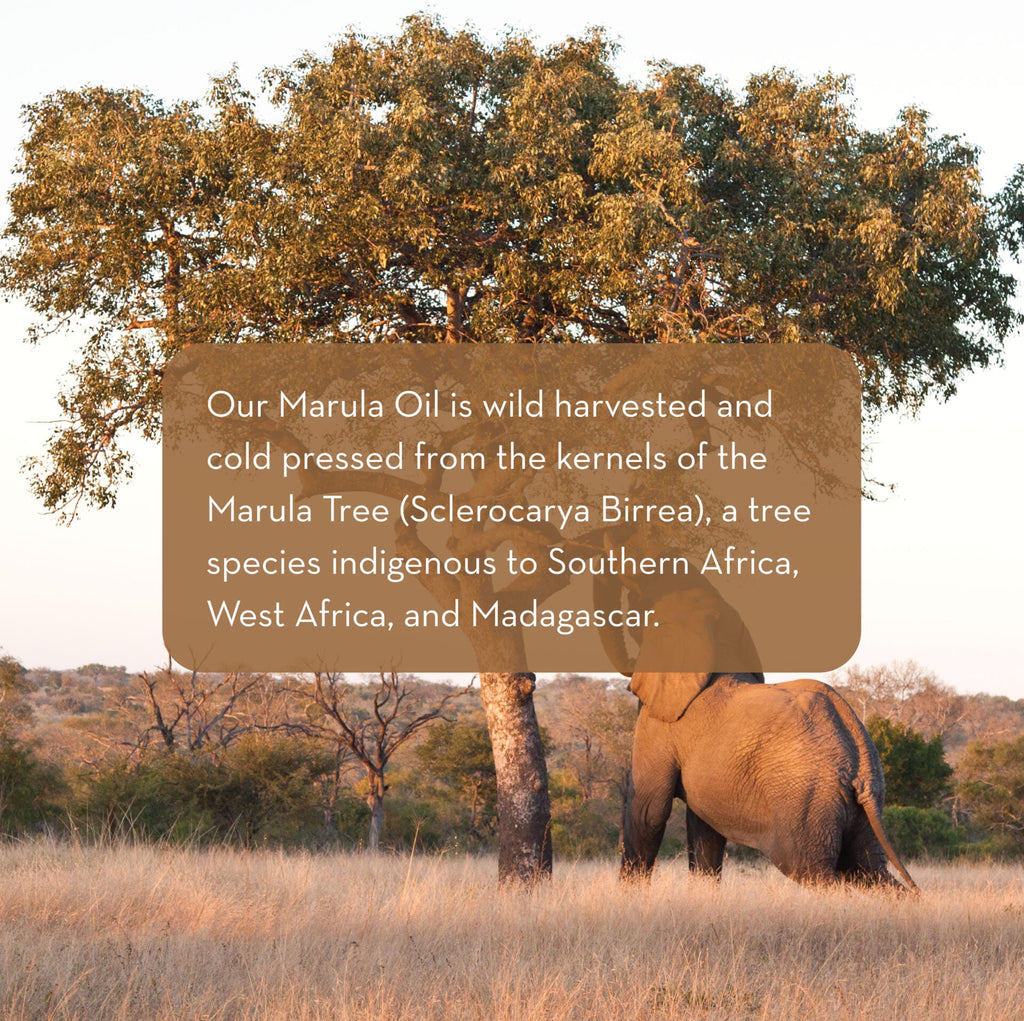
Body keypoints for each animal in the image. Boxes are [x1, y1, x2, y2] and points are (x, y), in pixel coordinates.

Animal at [599, 580, 918, 892]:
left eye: (640, 604)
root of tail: (861, 759)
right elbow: (703, 826)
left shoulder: (661, 724)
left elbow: (648, 811)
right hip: (861, 806)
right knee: (870, 873)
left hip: (807, 802)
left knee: (815, 873)